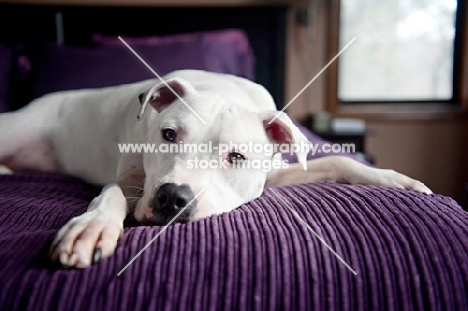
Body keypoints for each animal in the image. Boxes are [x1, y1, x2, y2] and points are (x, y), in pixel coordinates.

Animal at [0, 70, 432, 268]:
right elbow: (109, 195)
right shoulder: (131, 181)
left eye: (236, 157)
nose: (172, 198)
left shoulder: (275, 174)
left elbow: (339, 160)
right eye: (168, 134)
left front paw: (400, 181)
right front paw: (91, 228)